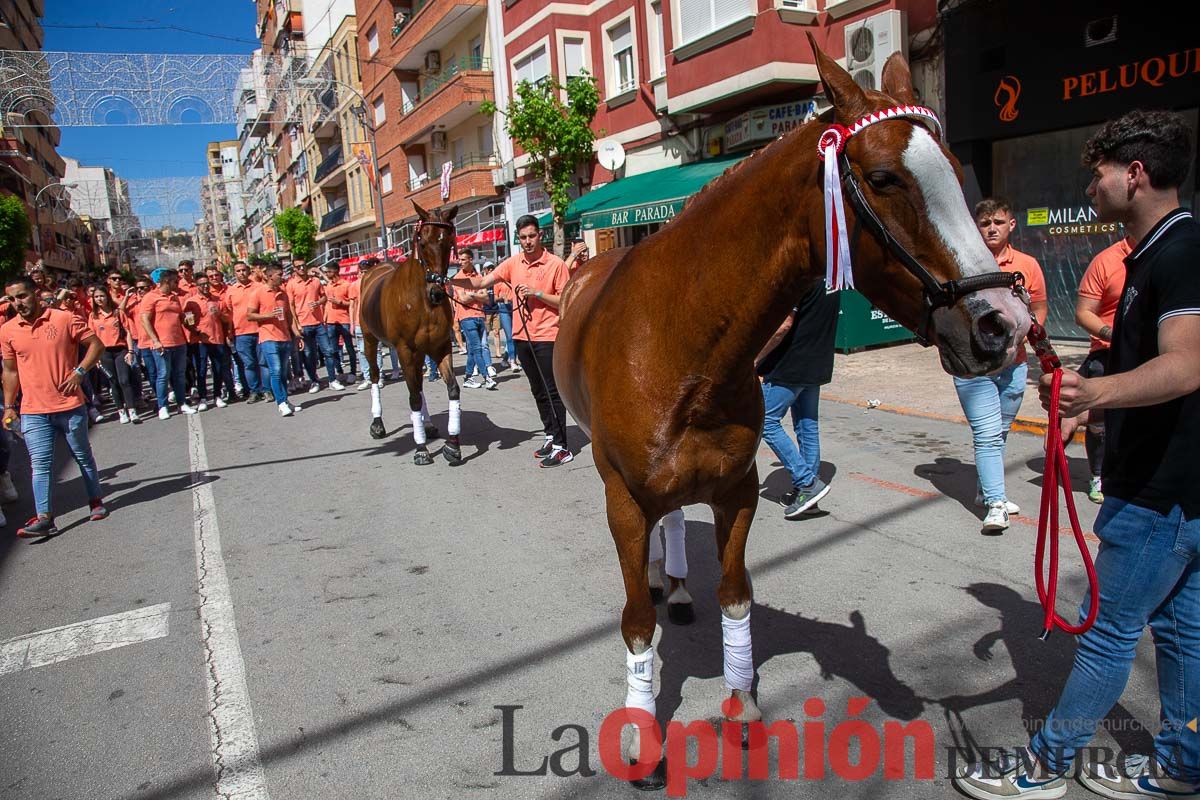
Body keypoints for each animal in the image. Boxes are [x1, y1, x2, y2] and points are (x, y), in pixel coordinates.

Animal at [352, 201, 460, 470]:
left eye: (448, 241)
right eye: (422, 241)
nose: (437, 292)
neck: (421, 301)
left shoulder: (440, 347)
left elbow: (452, 389)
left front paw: (453, 445)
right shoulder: (405, 349)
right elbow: (412, 398)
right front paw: (420, 449)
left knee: (418, 384)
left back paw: (427, 423)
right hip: (369, 340)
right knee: (375, 376)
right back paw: (378, 422)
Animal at [552, 40, 1032, 786]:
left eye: (957, 173)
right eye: (884, 178)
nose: (1003, 325)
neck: (680, 342)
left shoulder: (737, 491)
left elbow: (736, 593)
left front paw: (741, 704)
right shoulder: (624, 499)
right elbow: (634, 622)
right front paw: (641, 736)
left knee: (675, 527)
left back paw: (675, 584)